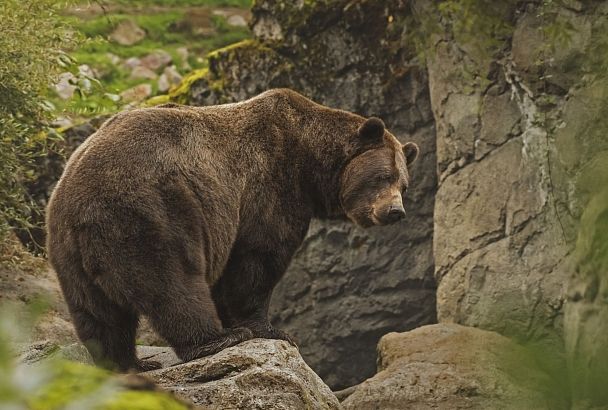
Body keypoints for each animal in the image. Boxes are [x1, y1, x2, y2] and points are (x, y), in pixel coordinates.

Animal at [46, 89, 418, 372]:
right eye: (383, 177)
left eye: (403, 183)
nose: (395, 212)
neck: (310, 162)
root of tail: (80, 205)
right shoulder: (269, 185)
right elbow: (258, 260)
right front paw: (270, 330)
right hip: (149, 211)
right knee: (171, 281)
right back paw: (215, 340)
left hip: (67, 248)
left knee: (97, 312)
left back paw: (128, 363)